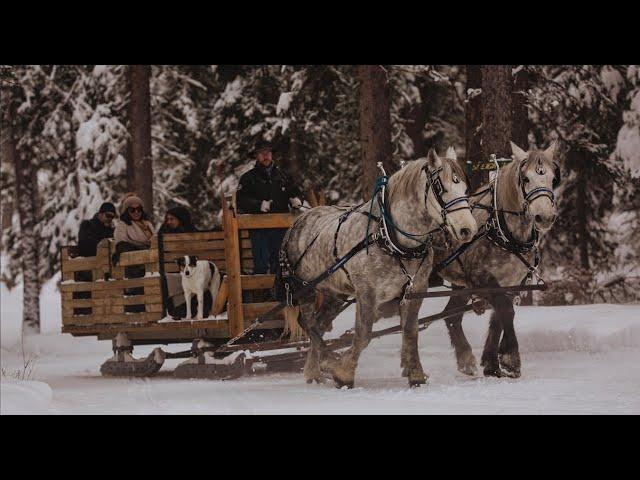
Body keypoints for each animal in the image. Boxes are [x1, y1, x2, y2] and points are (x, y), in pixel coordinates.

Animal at [282, 148, 478, 388]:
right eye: (441, 187)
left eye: (466, 189)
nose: (467, 229)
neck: (390, 237)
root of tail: (299, 219)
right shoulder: (367, 291)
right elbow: (364, 334)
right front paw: (344, 373)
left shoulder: (416, 289)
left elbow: (410, 332)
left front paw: (416, 374)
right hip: (305, 287)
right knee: (308, 322)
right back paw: (328, 360)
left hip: (334, 292)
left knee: (318, 324)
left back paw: (314, 371)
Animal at [438, 142, 556, 378]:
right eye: (525, 178)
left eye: (553, 177)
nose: (545, 217)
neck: (503, 232)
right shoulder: (482, 279)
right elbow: (506, 311)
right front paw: (511, 358)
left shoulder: (511, 281)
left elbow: (498, 319)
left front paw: (492, 362)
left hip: (460, 283)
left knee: (451, 316)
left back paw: (465, 358)